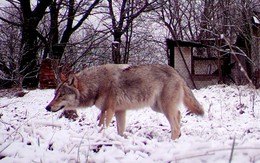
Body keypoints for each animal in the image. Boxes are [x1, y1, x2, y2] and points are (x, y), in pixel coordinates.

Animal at [45, 63, 204, 139]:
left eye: (61, 95)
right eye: (54, 94)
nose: (47, 107)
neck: (97, 84)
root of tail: (177, 73)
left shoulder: (108, 110)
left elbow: (102, 127)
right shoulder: (120, 111)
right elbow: (120, 131)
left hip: (164, 108)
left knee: (175, 124)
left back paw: (172, 141)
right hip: (158, 107)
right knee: (179, 114)